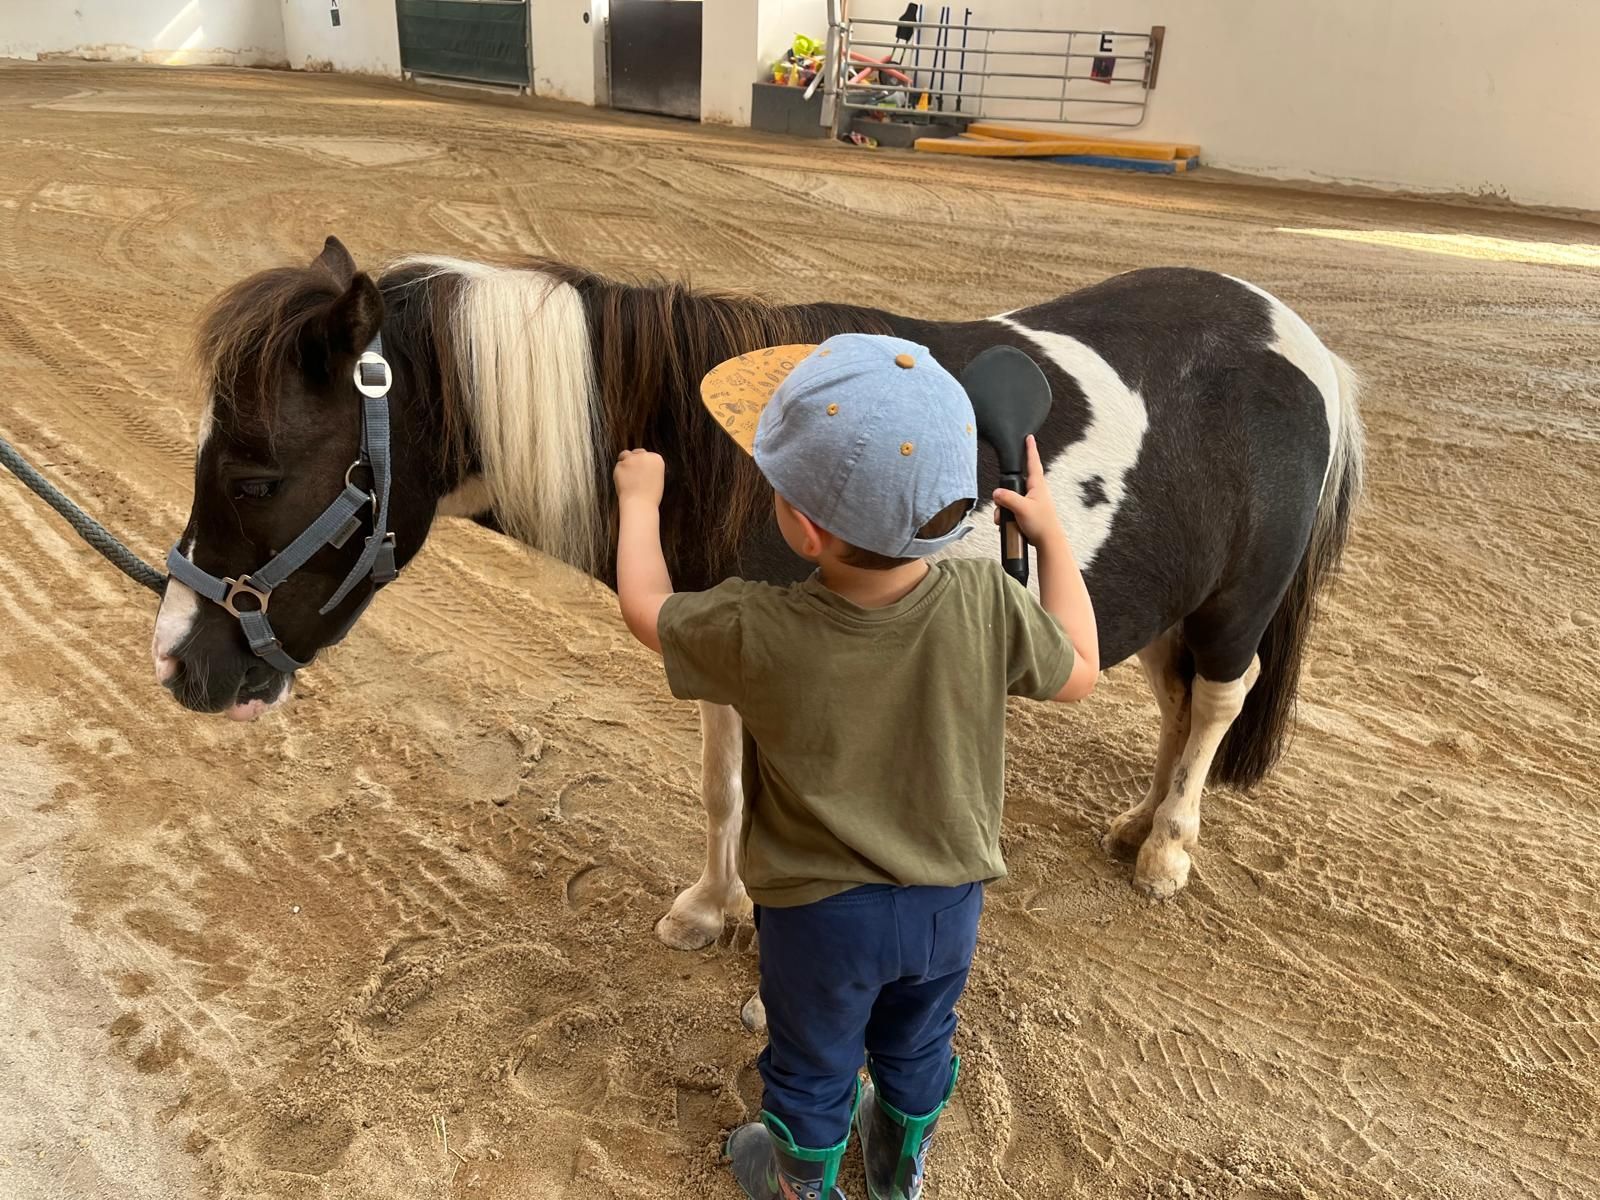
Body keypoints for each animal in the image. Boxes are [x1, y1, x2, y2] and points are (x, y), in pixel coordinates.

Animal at [152, 236, 1362, 964]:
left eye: (253, 476)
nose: (178, 663)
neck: (740, 454)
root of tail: (1293, 337)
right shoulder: (730, 645)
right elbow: (723, 789)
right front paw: (709, 907)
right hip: (1176, 602)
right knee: (1175, 702)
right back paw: (1139, 822)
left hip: (1238, 603)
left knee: (1216, 701)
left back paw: (1168, 850)